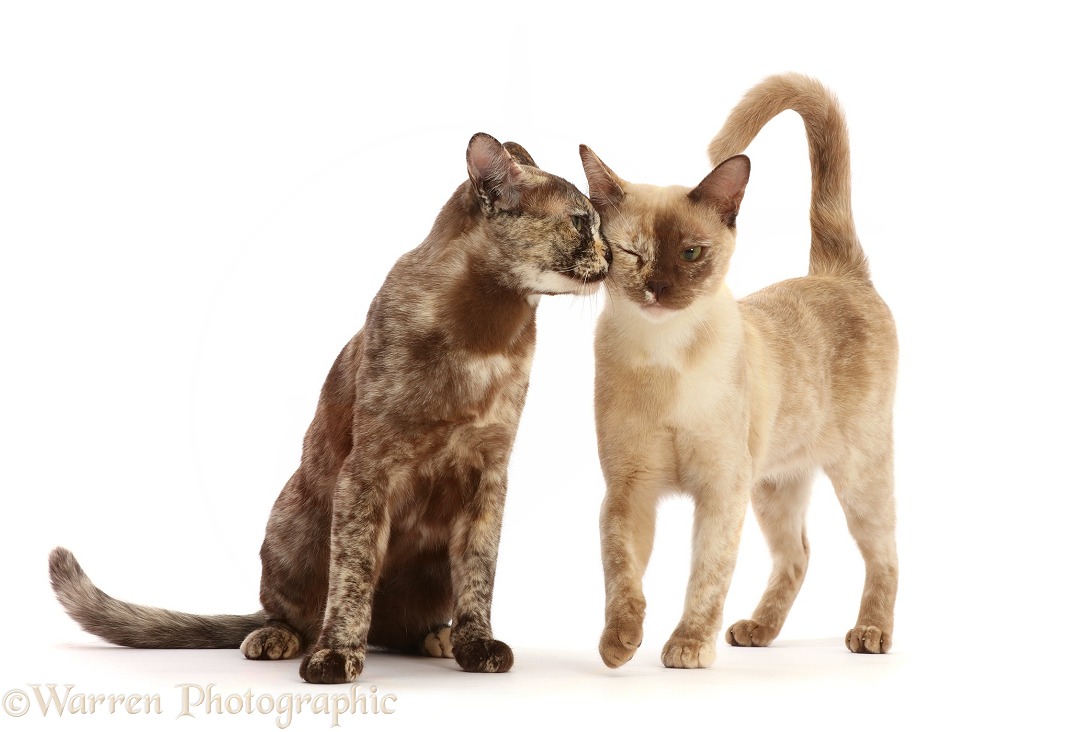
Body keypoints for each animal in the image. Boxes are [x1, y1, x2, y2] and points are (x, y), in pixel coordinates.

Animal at [50, 132, 614, 682]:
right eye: (581, 222)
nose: (612, 254)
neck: (488, 337)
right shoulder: (369, 469)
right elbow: (353, 575)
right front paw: (337, 655)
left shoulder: (489, 476)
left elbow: (479, 575)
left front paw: (476, 645)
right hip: (294, 522)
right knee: (290, 610)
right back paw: (278, 638)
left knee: (406, 623)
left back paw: (440, 637)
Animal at [579, 74, 897, 665]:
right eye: (632, 253)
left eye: (690, 253)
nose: (658, 288)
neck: (664, 355)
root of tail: (835, 273)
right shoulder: (628, 490)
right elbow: (622, 573)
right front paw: (619, 643)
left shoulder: (720, 490)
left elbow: (706, 578)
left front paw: (686, 647)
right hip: (774, 485)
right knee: (799, 554)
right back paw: (758, 630)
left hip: (859, 473)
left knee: (883, 551)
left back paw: (870, 634)